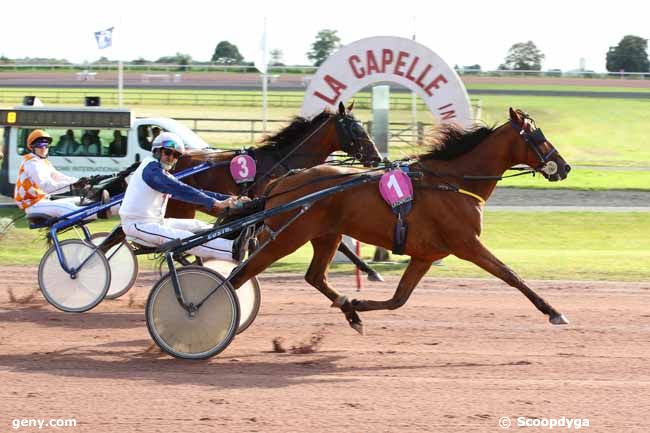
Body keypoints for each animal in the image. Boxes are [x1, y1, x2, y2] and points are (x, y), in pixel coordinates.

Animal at [229, 108, 572, 330]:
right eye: (538, 137)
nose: (564, 166)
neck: (454, 182)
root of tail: (281, 181)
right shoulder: (467, 244)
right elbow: (511, 275)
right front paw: (554, 311)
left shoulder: (425, 255)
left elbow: (398, 299)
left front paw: (356, 306)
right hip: (286, 237)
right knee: (240, 274)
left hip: (327, 235)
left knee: (315, 276)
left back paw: (350, 312)